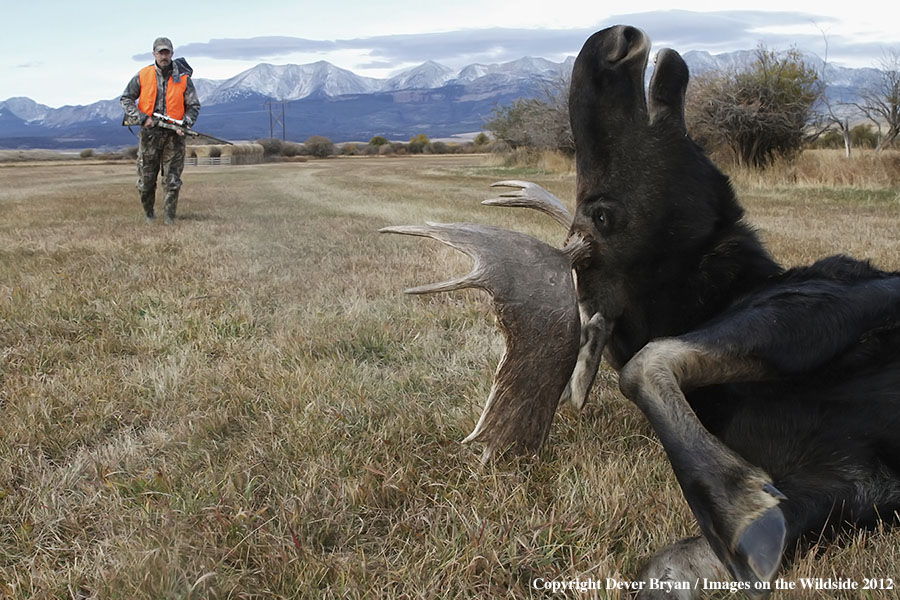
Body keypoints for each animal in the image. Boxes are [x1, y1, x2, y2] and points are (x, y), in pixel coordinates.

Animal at [380, 24, 900, 596]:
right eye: (602, 215)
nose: (610, 44)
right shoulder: (851, 471)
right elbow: (645, 371)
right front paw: (741, 509)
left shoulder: (862, 299)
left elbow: (646, 363)